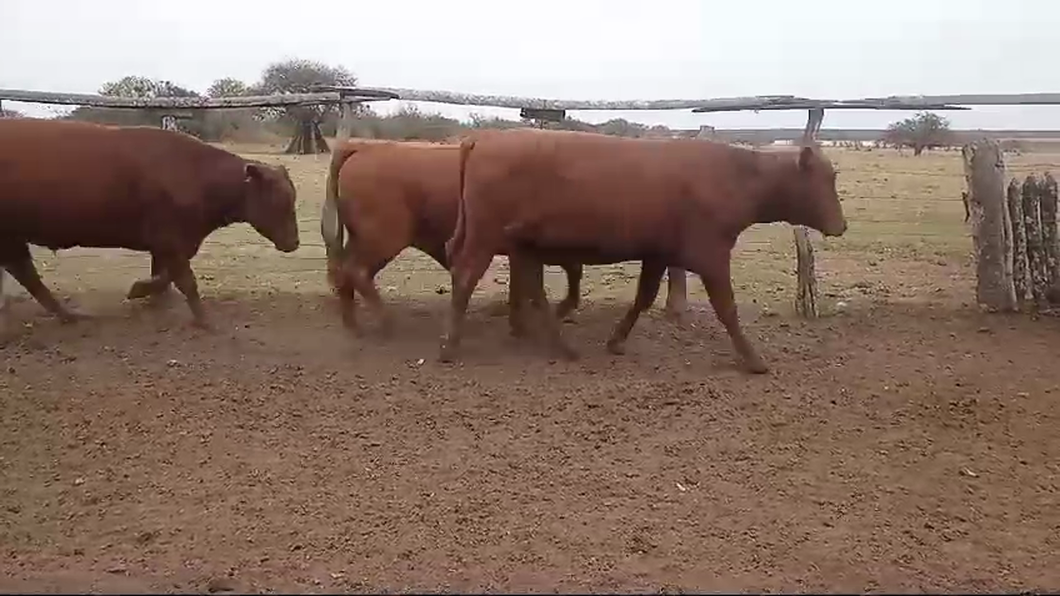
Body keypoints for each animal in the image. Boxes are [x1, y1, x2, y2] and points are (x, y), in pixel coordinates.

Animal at [0, 118, 301, 326]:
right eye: (280, 203)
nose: (294, 243)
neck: (196, 174)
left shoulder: (172, 242)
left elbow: (164, 276)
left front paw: (142, 292)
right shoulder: (169, 238)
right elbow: (185, 280)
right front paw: (204, 320)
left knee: (24, 272)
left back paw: (69, 315)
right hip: (10, 235)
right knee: (26, 273)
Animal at [320, 138, 585, 335]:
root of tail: (364, 148)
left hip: (363, 240)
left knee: (345, 271)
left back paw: (353, 326)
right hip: (384, 237)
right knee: (357, 271)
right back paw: (386, 323)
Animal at [436, 129, 843, 371]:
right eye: (825, 179)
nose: (841, 225)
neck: (735, 175)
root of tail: (486, 138)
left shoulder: (658, 254)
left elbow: (644, 297)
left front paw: (616, 341)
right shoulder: (711, 255)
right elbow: (727, 309)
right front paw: (754, 359)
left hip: (522, 243)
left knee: (530, 287)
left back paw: (561, 346)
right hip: (486, 236)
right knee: (467, 277)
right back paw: (450, 347)